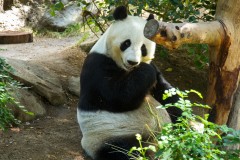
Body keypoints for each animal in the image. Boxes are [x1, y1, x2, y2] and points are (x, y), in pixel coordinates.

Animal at [77, 5, 182, 160]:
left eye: (143, 48)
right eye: (126, 43)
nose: (132, 62)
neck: (128, 70)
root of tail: (155, 143)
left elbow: (165, 92)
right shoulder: (97, 65)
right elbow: (116, 96)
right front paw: (145, 70)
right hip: (109, 134)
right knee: (122, 151)